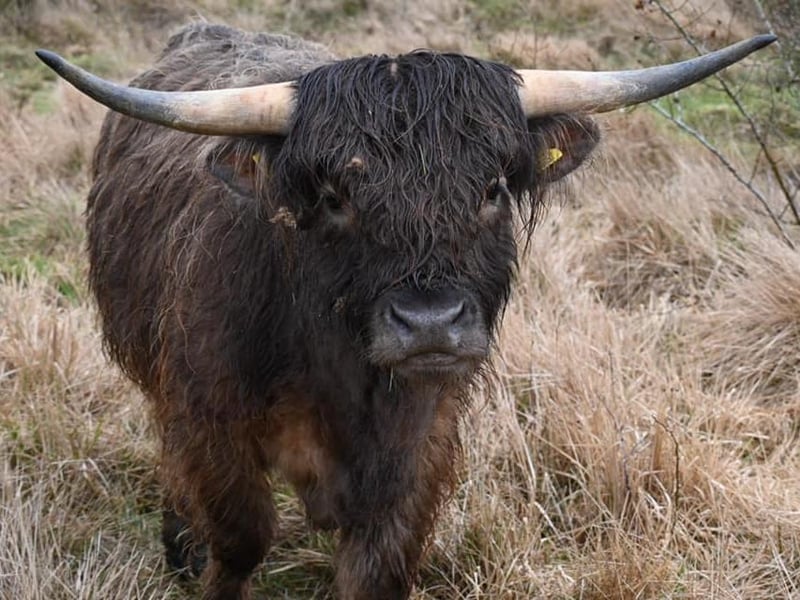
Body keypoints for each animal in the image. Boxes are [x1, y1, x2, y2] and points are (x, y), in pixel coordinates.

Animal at [37, 23, 774, 600]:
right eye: (334, 196)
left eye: (492, 187)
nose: (430, 325)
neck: (334, 377)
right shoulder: (209, 420)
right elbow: (240, 539)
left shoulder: (423, 441)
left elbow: (381, 564)